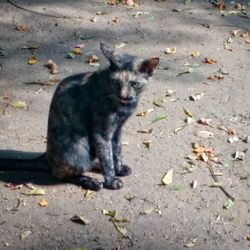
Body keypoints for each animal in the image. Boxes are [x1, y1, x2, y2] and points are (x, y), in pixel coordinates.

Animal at [0, 43, 159, 191]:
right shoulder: (102, 133)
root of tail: (47, 155)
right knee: (61, 174)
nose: (123, 96)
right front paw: (112, 180)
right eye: (116, 82)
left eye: (134, 83)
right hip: (79, 146)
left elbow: (117, 151)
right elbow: (107, 157)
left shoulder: (117, 130)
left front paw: (118, 169)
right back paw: (91, 182)